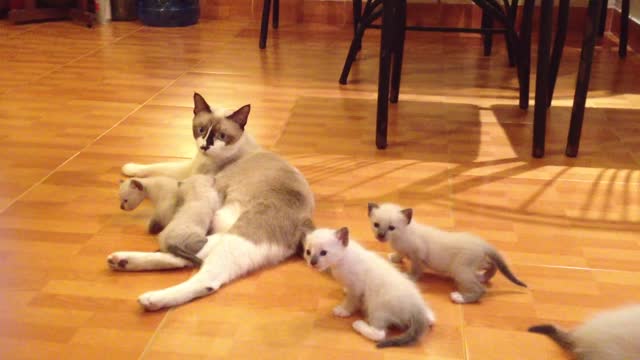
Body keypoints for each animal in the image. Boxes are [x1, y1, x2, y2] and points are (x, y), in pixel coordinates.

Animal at [304, 228, 436, 348]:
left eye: (323, 253)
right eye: (308, 252)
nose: (312, 262)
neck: (341, 260)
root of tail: (416, 308)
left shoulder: (356, 288)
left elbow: (350, 302)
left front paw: (343, 310)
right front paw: (345, 291)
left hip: (377, 308)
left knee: (379, 334)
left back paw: (358, 324)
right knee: (431, 316)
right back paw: (429, 317)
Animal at [368, 202, 528, 304]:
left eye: (391, 228)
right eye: (376, 225)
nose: (380, 236)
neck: (399, 237)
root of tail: (482, 242)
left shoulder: (418, 256)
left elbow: (416, 270)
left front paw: (410, 277)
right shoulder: (403, 250)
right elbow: (400, 254)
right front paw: (394, 257)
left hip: (460, 270)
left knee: (481, 290)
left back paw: (460, 298)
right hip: (475, 264)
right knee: (491, 265)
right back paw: (483, 276)